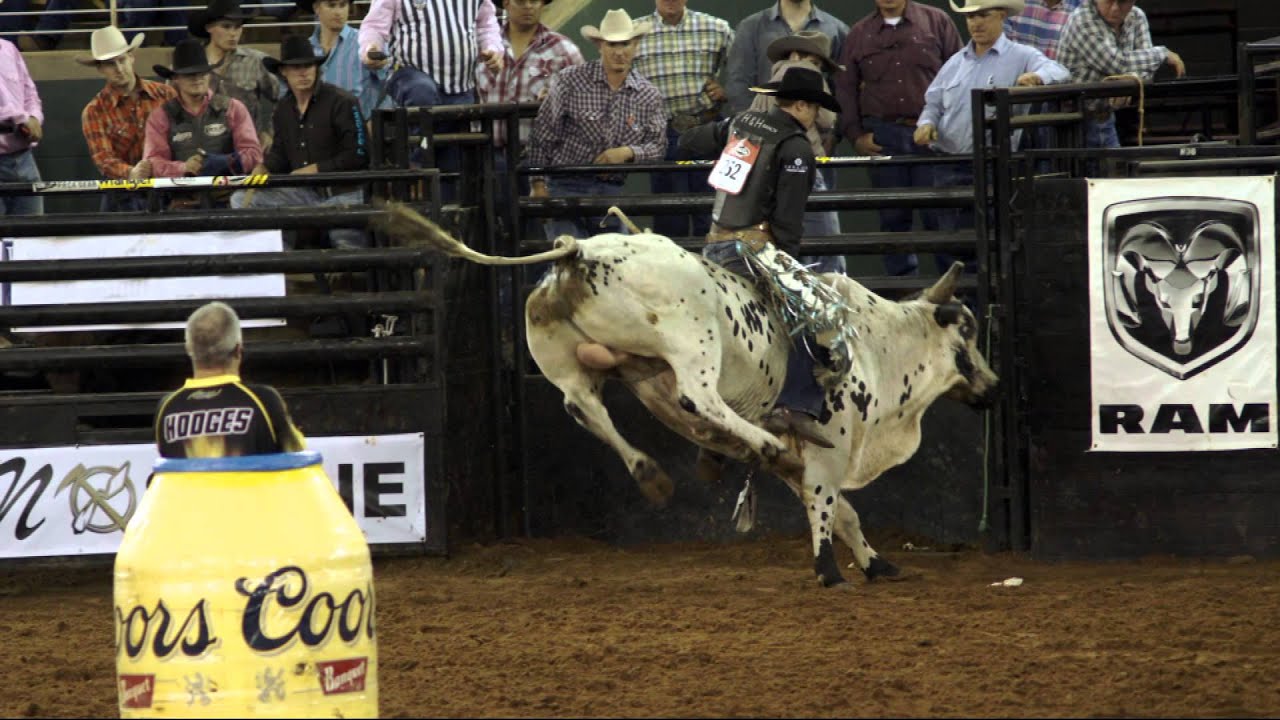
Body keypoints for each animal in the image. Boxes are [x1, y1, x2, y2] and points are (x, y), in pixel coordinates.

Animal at [378, 203, 999, 587]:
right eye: (967, 331)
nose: (992, 387)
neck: (873, 341)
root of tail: (578, 253)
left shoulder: (805, 464)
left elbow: (844, 512)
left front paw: (875, 564)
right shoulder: (830, 447)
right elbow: (828, 506)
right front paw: (829, 572)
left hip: (560, 355)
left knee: (585, 406)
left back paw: (651, 472)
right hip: (693, 340)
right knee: (699, 399)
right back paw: (746, 441)